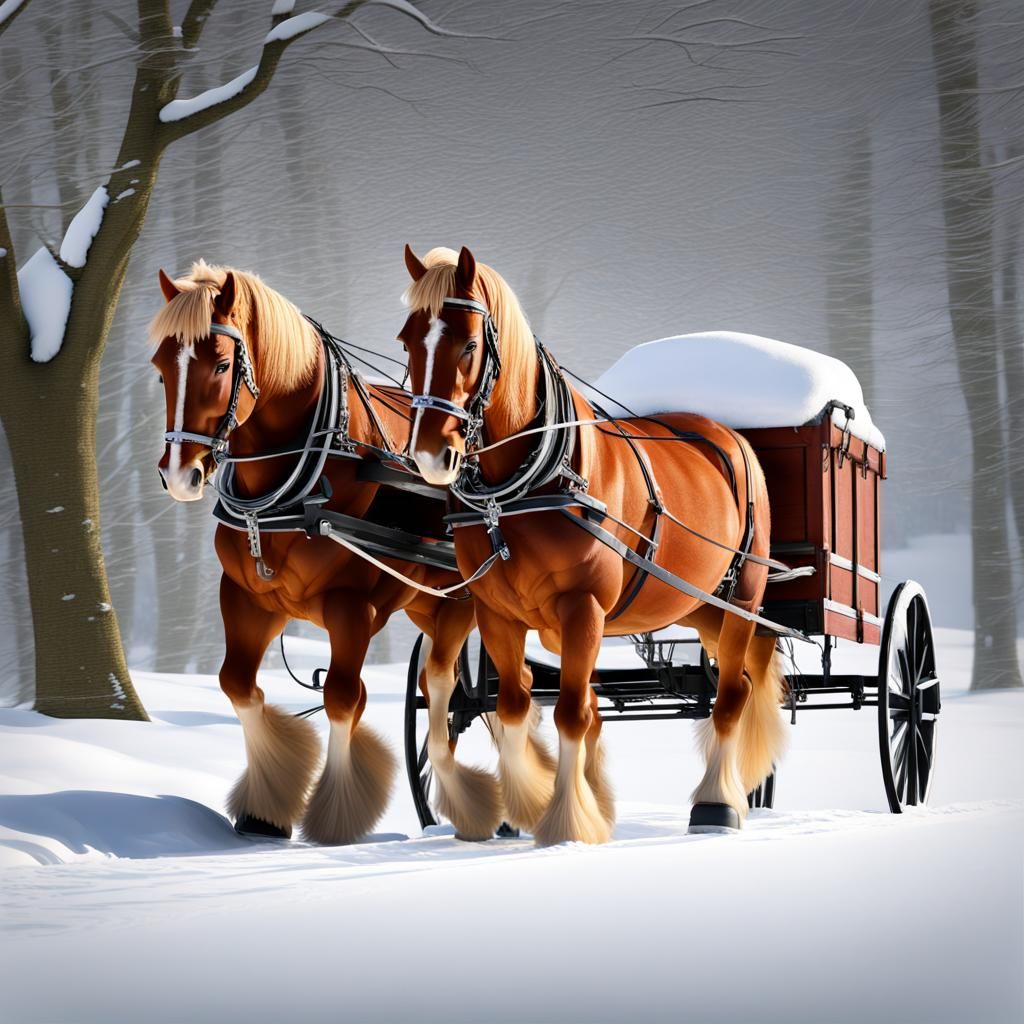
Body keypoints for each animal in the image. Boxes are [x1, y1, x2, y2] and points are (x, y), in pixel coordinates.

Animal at [149, 260, 501, 844]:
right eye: (160, 369)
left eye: (221, 364)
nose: (180, 474)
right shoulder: (248, 598)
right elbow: (237, 685)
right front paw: (266, 806)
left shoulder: (351, 607)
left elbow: (342, 697)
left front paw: (338, 814)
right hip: (430, 600)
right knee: (446, 688)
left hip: (463, 602)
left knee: (450, 689)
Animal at [397, 245, 787, 845]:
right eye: (407, 341)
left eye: (468, 345)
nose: (429, 455)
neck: (521, 490)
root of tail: (730, 436)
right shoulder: (496, 611)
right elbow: (514, 705)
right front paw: (528, 806)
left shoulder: (583, 607)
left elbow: (571, 713)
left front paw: (564, 821)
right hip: (698, 606)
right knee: (735, 678)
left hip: (742, 596)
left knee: (731, 696)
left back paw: (717, 804)